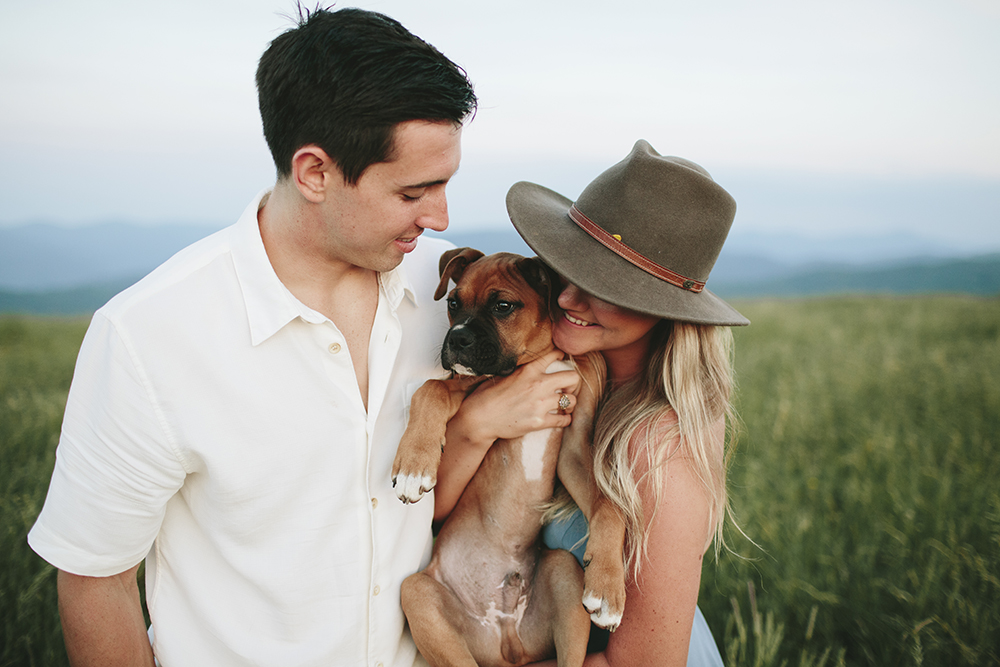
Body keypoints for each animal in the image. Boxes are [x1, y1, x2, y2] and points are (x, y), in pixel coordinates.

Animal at [390, 249, 624, 667]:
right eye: (453, 303)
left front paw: (610, 589)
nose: (457, 338)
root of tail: (505, 639)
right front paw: (415, 466)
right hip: (417, 595)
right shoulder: (470, 385)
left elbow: (609, 508)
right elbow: (431, 389)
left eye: (503, 306)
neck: (543, 357)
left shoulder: (574, 449)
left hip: (563, 572)